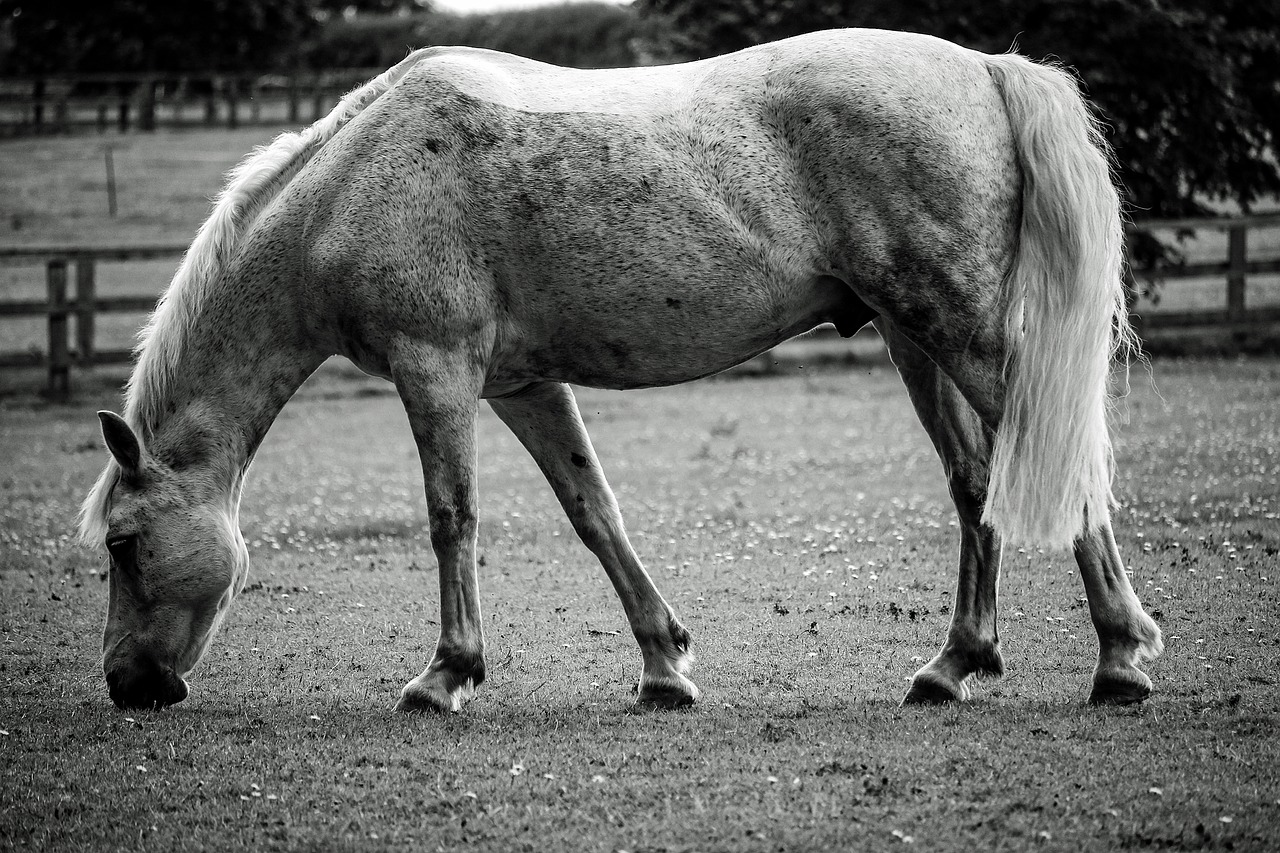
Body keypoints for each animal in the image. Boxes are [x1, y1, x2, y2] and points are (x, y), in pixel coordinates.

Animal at [80, 28, 1162, 712]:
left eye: (125, 545)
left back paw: (1119, 658)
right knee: (974, 482)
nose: (127, 685)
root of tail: (984, 68)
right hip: (911, 336)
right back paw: (952, 664)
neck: (351, 183)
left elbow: (450, 519)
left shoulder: (435, 371)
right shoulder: (520, 384)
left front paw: (445, 674)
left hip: (958, 331)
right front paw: (663, 668)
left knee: (1056, 470)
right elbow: (593, 512)